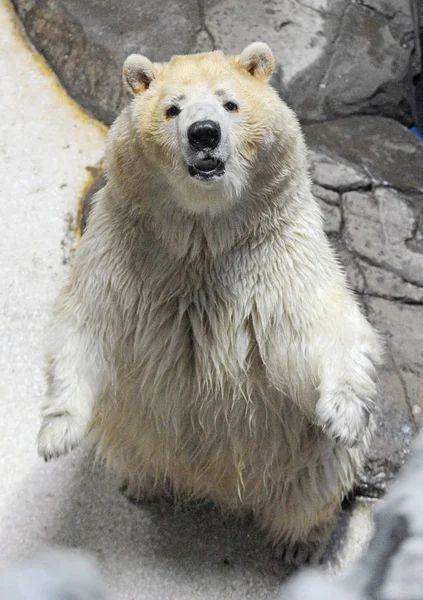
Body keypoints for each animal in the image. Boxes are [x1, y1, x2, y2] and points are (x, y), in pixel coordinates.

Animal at [38, 44, 382, 564]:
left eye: (230, 103)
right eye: (171, 108)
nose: (204, 133)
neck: (203, 234)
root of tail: (216, 487)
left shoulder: (276, 258)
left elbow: (316, 328)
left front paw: (343, 411)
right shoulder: (125, 250)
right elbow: (86, 321)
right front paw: (56, 434)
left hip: (302, 458)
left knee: (316, 487)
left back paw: (299, 545)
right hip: (133, 424)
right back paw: (141, 483)